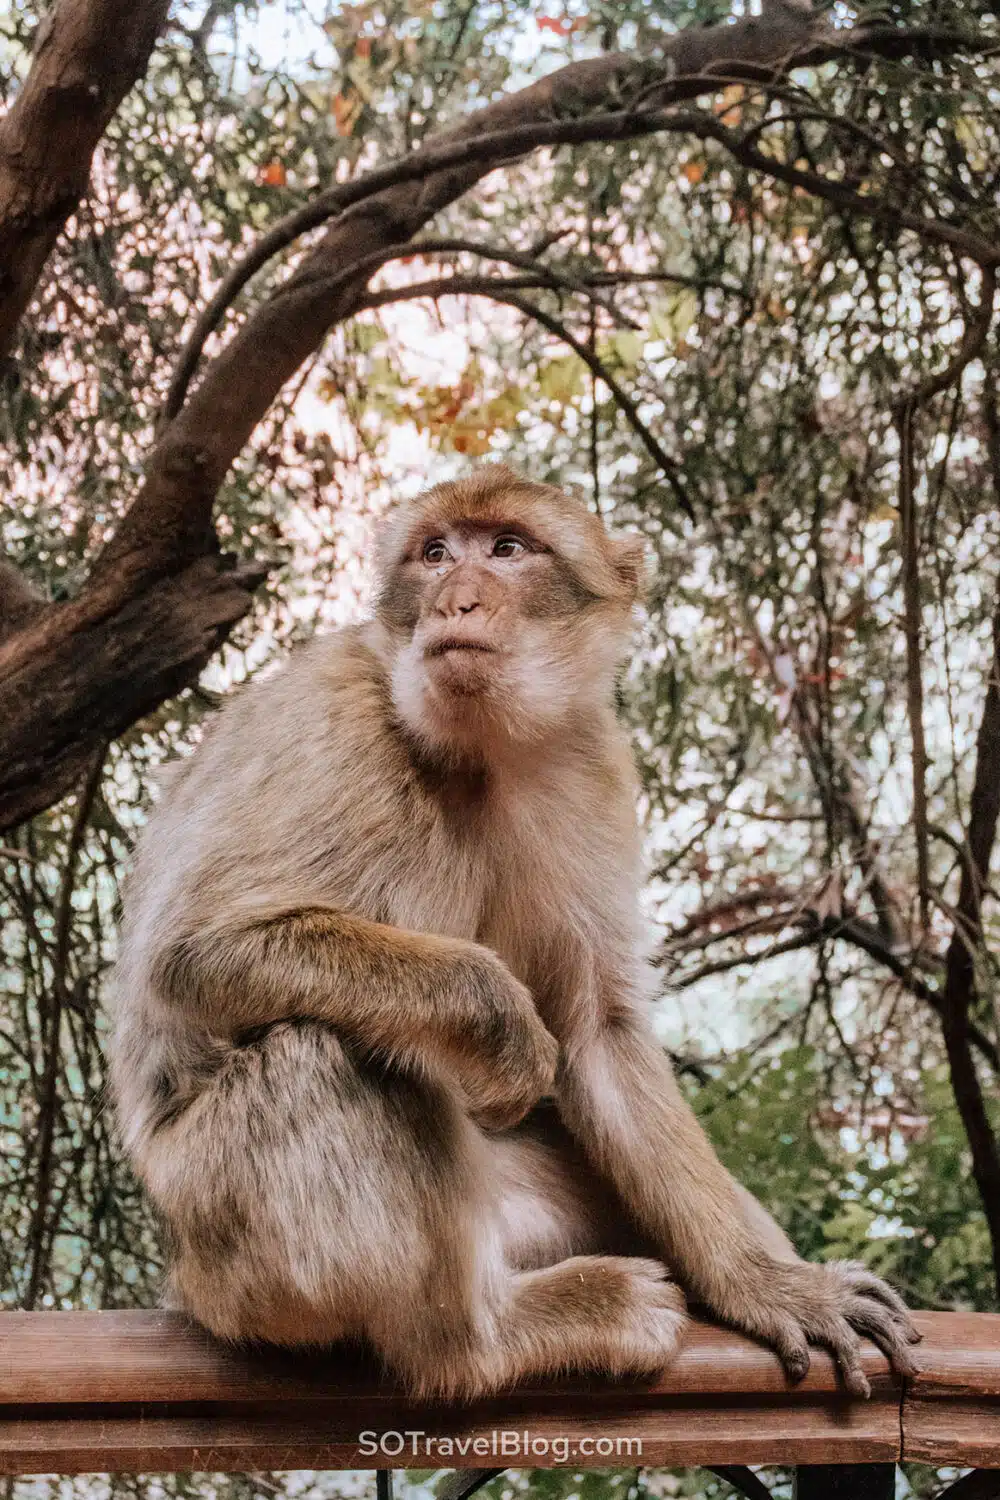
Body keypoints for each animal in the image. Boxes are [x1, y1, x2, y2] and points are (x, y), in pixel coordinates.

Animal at [107, 462, 917, 1398]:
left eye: (506, 549)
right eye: (433, 553)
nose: (454, 599)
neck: (483, 747)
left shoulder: (593, 764)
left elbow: (603, 1032)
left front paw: (768, 1283)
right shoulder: (329, 721)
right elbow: (191, 954)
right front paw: (501, 1025)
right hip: (226, 1244)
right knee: (323, 1049)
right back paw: (492, 1334)